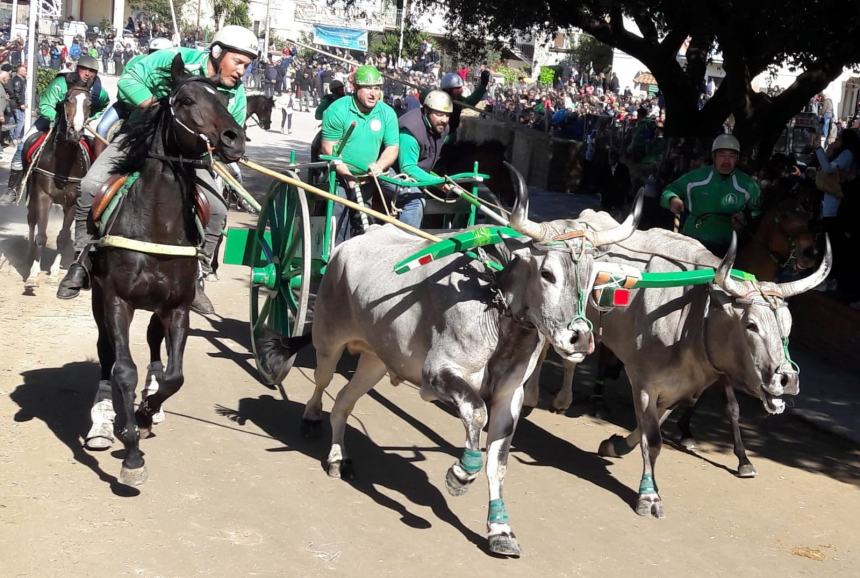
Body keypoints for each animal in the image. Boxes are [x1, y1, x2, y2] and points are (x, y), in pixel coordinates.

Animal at [23, 75, 92, 286]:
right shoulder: (43, 196)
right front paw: (34, 273)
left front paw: (54, 270)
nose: (75, 132)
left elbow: (62, 237)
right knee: (31, 219)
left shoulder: (73, 202)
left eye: (89, 103)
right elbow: (41, 235)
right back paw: (29, 253)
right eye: (67, 99)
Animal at [91, 56, 245, 484]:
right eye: (187, 100)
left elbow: (176, 376)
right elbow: (123, 370)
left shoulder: (177, 307)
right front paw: (131, 453)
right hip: (97, 298)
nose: (234, 139)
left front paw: (146, 412)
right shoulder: (116, 301)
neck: (156, 225)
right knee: (106, 353)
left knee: (154, 343)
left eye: (225, 99)